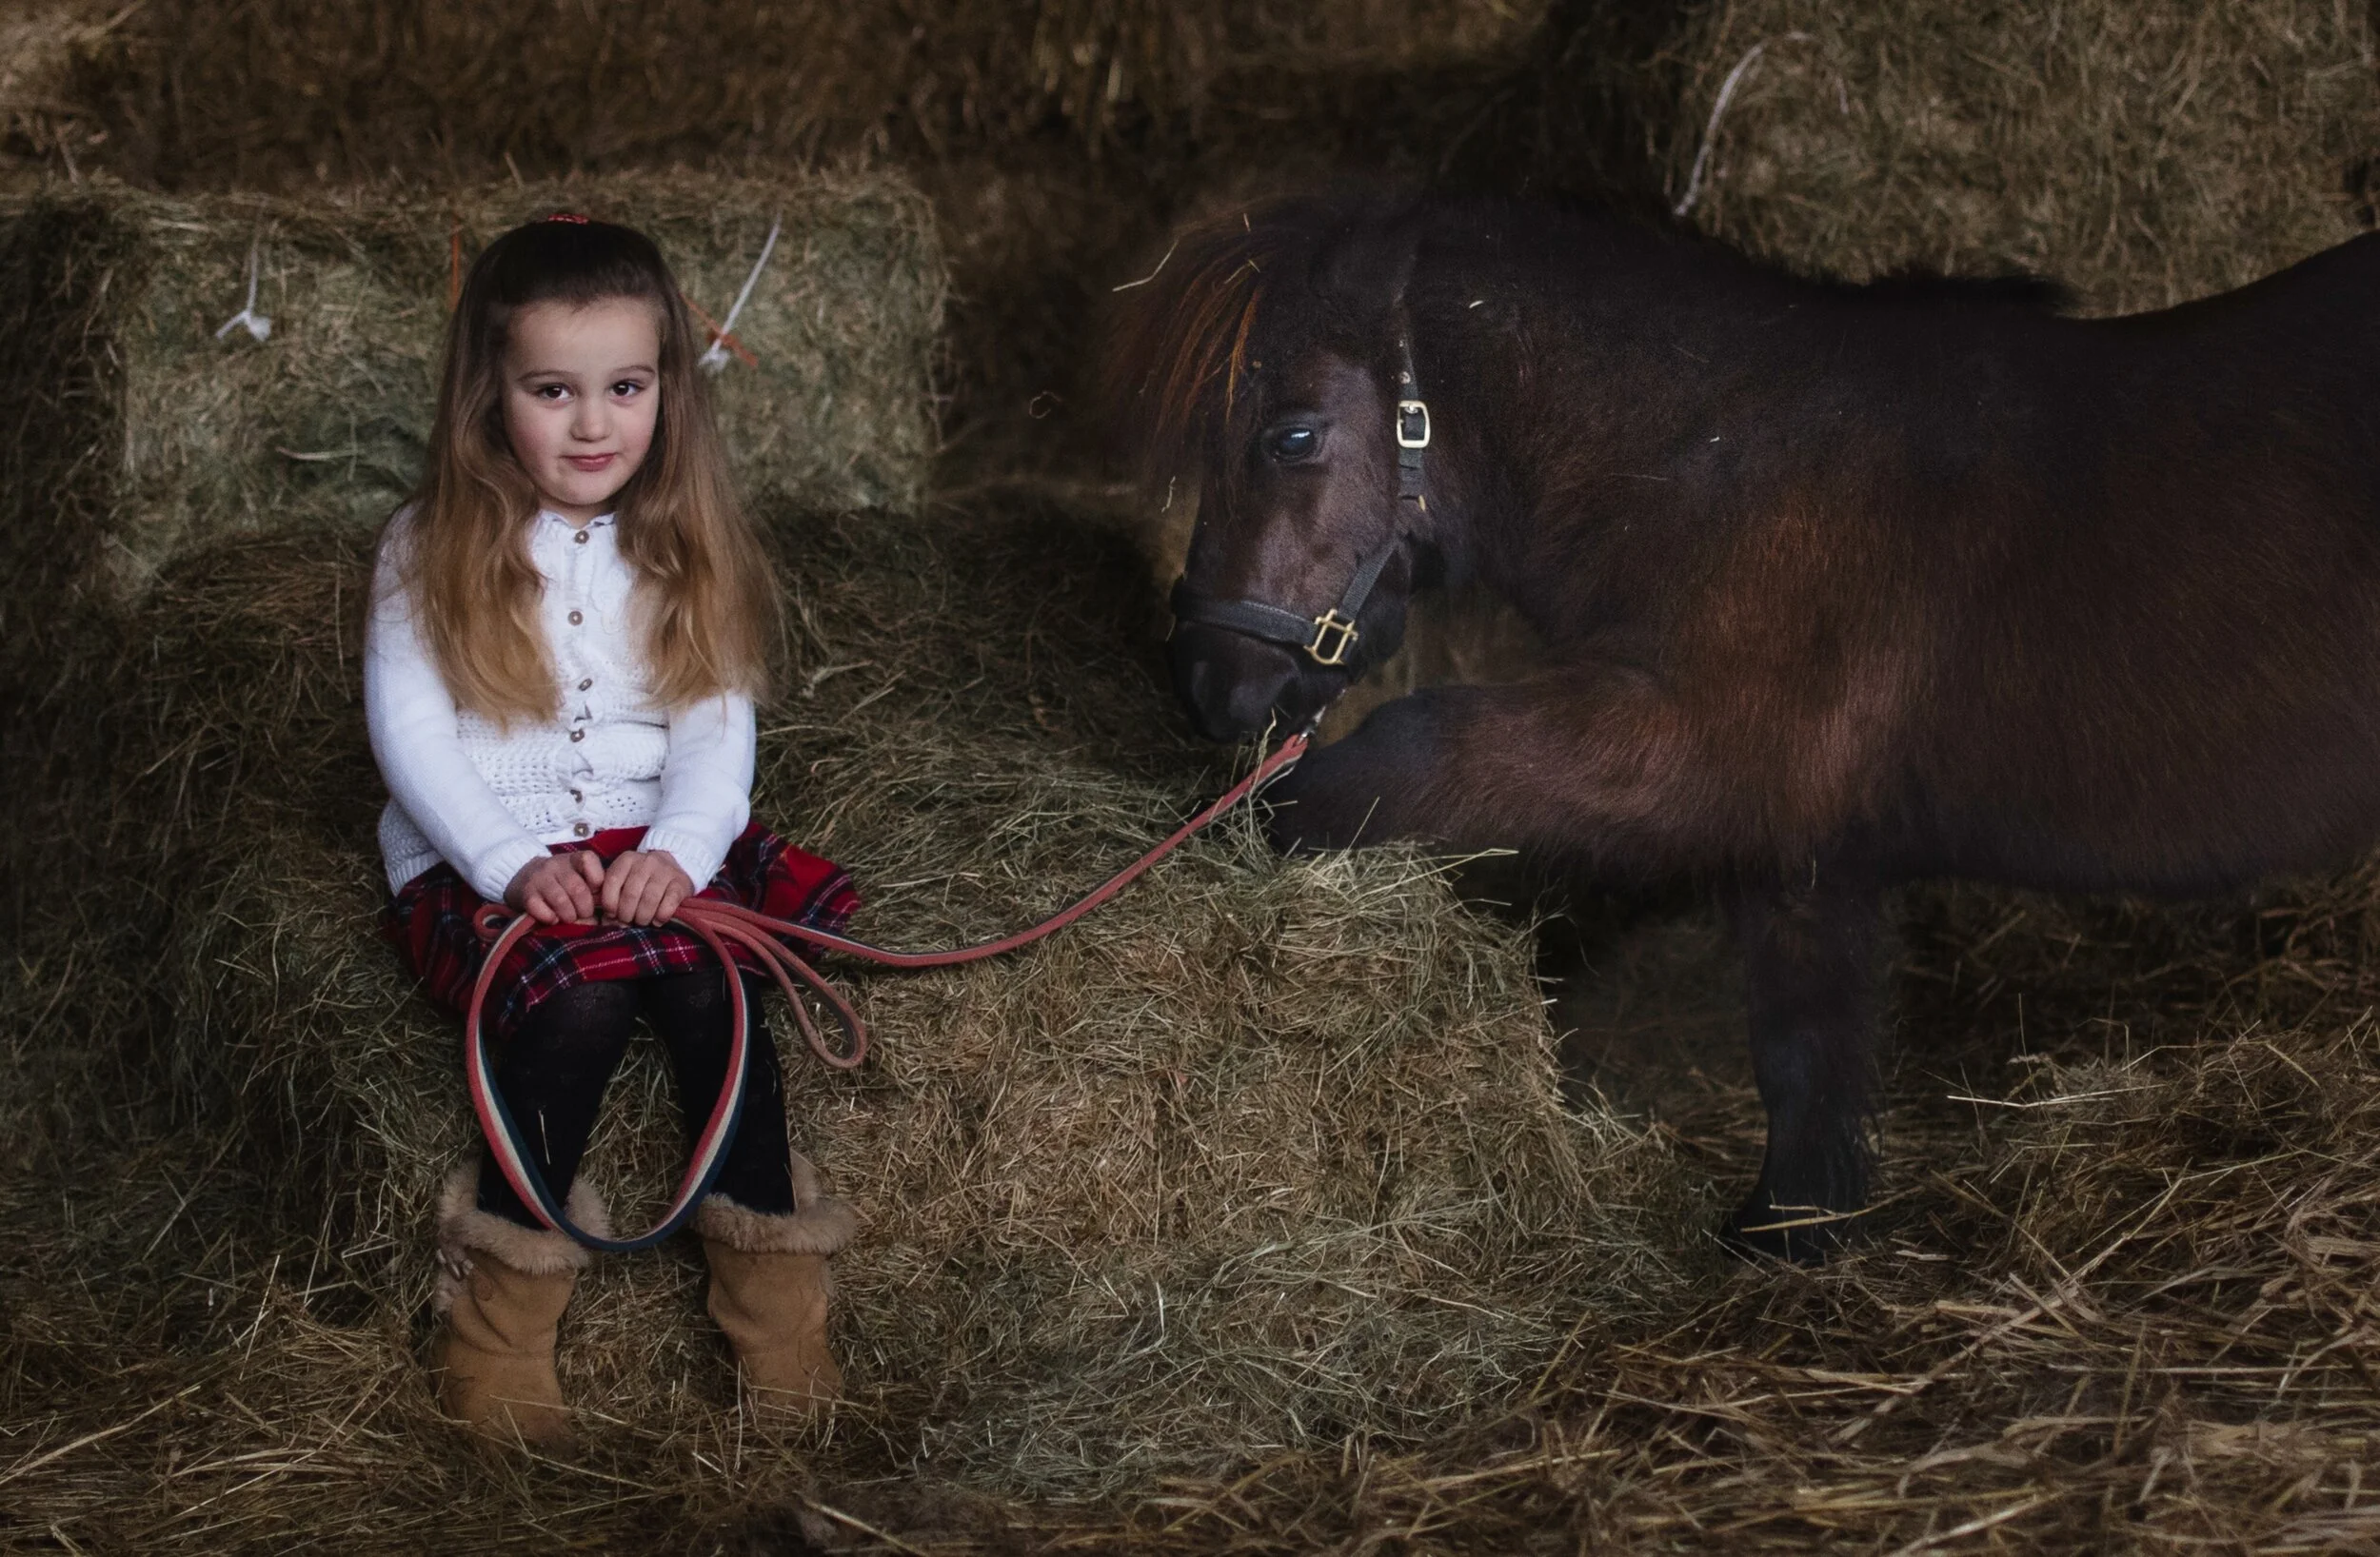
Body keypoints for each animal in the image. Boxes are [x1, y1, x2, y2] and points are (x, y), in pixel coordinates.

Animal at [1100, 189, 2380, 1261]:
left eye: (1292, 436)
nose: (1206, 679)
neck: (1721, 460)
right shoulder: (1799, 844)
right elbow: (1805, 1041)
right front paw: (1794, 1226)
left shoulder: (1693, 755)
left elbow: (1413, 750)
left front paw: (1261, 835)